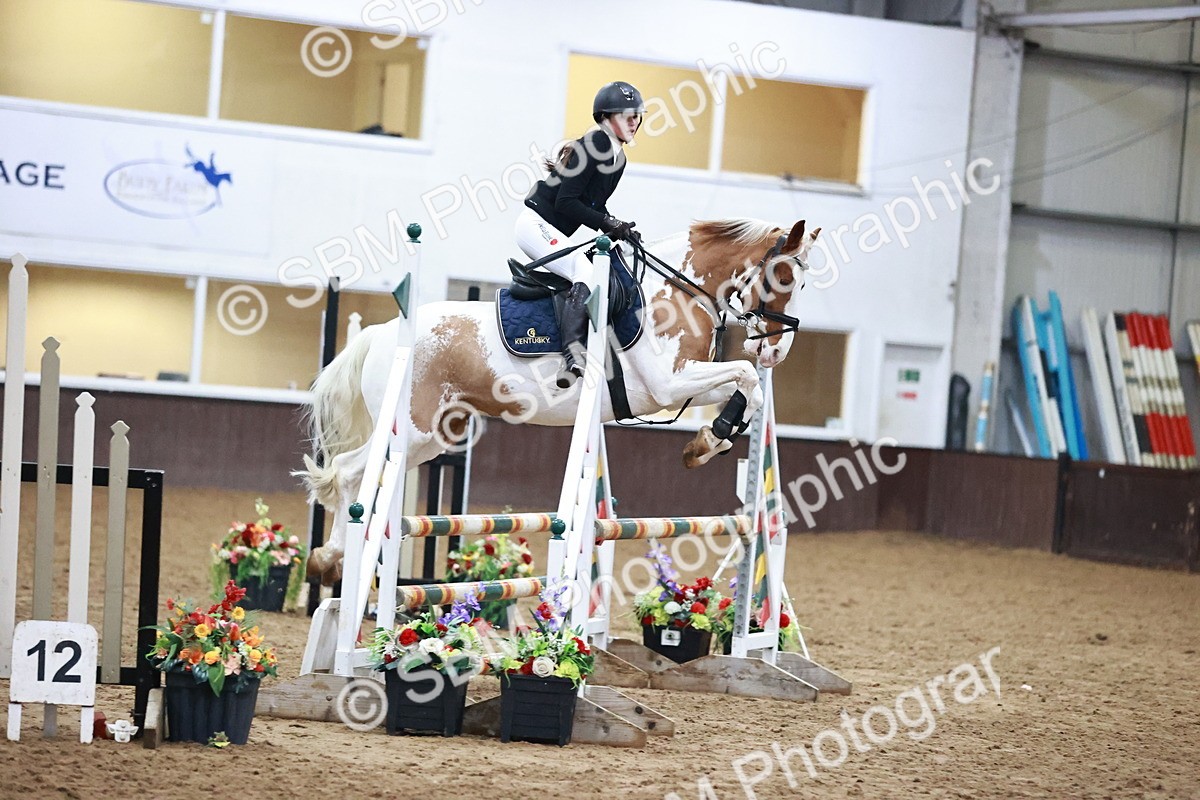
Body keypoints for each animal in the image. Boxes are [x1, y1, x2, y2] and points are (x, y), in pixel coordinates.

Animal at [301, 217, 821, 584]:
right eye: (785, 278)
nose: (776, 350)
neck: (678, 291)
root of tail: (383, 333)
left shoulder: (682, 385)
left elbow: (748, 386)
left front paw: (710, 440)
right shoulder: (666, 385)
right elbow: (746, 374)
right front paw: (710, 440)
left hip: (431, 436)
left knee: (357, 474)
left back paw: (333, 560)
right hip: (412, 428)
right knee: (348, 472)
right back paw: (330, 559)